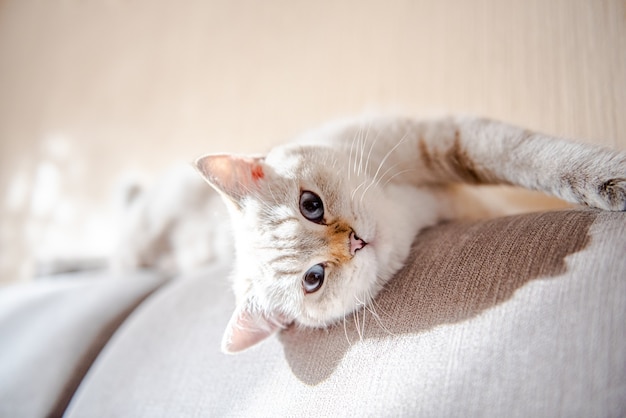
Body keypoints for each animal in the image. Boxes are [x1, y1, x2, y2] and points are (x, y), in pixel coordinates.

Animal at [191, 116, 624, 354]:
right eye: (314, 279)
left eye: (310, 205)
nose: (354, 242)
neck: (403, 209)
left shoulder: (438, 137)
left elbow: (537, 158)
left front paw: (611, 180)